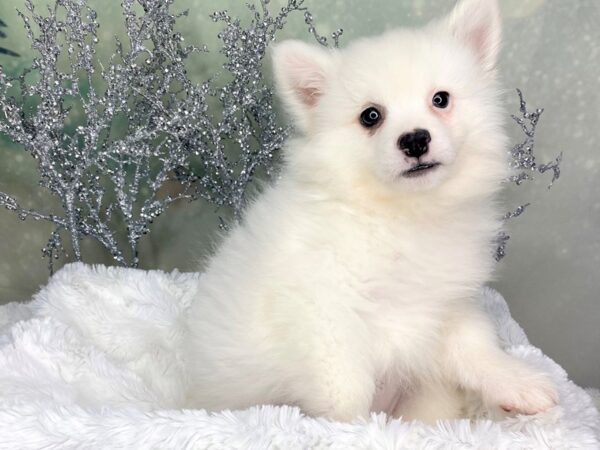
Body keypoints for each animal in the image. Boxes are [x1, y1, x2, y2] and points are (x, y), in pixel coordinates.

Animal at [184, 0, 556, 422]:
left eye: (441, 99)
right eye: (370, 116)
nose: (415, 140)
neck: (399, 217)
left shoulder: (445, 306)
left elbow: (477, 347)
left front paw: (517, 383)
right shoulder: (321, 310)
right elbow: (347, 390)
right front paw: (354, 428)